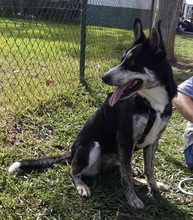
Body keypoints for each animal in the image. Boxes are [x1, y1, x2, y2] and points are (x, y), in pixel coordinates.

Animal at [8, 18, 176, 209]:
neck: (153, 104)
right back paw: (82, 186)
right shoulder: (126, 139)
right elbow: (126, 175)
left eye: (132, 62)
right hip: (92, 146)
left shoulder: (153, 140)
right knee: (74, 172)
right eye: (122, 60)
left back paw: (138, 180)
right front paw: (132, 198)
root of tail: (71, 153)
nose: (104, 77)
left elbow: (148, 169)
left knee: (122, 169)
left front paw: (154, 186)